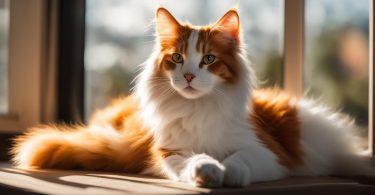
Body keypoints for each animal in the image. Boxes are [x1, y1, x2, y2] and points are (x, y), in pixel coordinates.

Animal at [10, 7, 374, 187]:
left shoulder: (268, 151)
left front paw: (231, 174)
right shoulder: (170, 151)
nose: (187, 76)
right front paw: (209, 172)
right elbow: (196, 160)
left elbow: (240, 159)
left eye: (208, 59)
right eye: (177, 58)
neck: (199, 109)